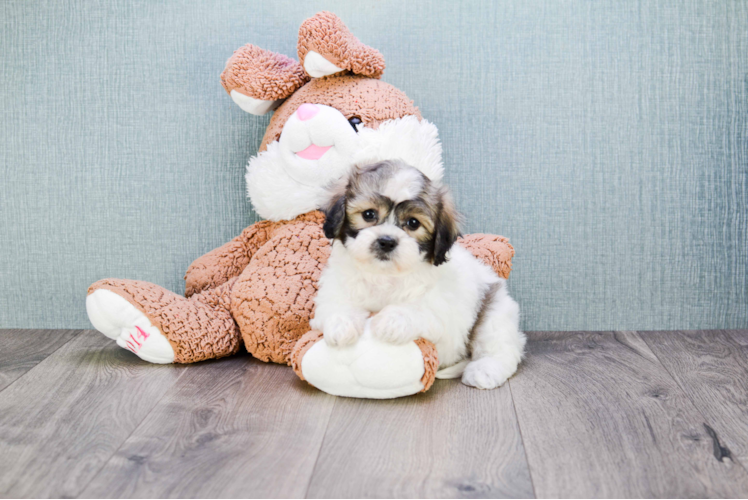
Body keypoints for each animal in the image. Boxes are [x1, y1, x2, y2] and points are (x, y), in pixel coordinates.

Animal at [312, 158, 528, 388]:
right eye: (369, 214)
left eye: (413, 223)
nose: (387, 241)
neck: (384, 275)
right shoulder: (335, 286)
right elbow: (337, 302)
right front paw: (341, 324)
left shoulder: (440, 306)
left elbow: (418, 308)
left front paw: (391, 321)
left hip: (495, 311)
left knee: (501, 346)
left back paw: (485, 370)